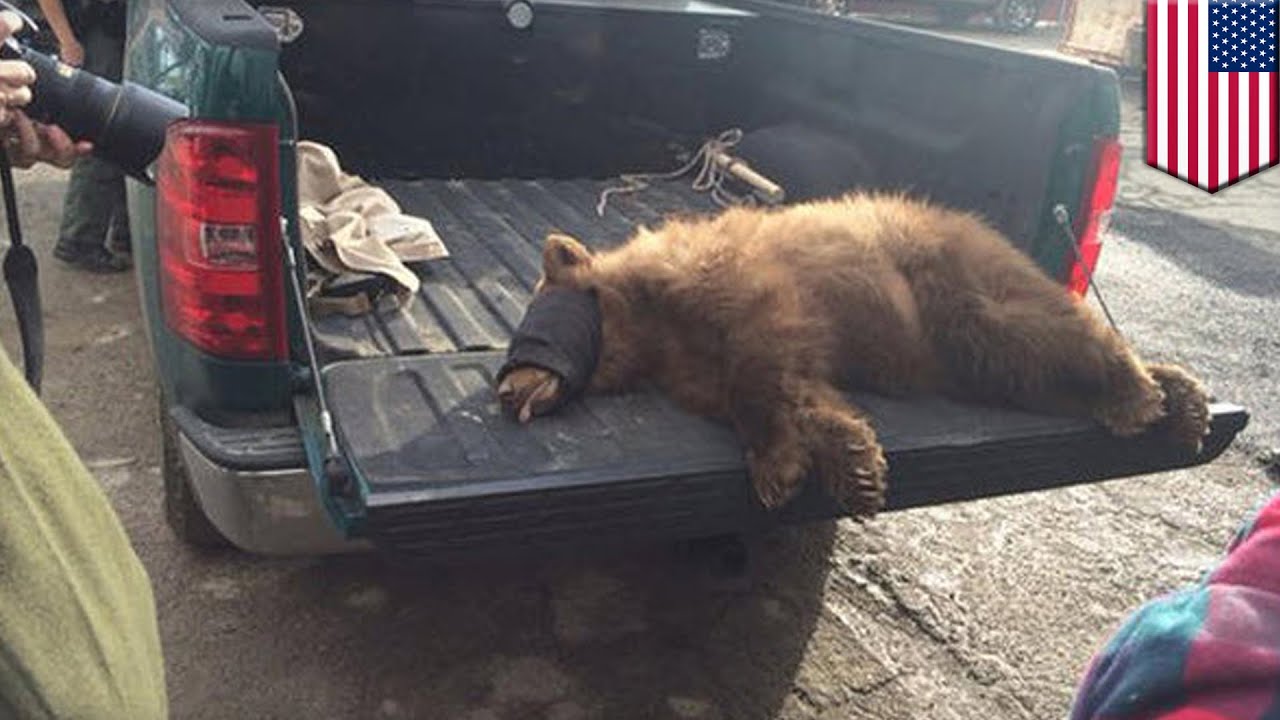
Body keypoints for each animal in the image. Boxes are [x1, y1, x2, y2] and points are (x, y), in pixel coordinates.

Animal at [496, 191, 1210, 517]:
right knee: (1028, 375)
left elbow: (760, 361)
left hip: (954, 288)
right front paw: (851, 463)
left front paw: (776, 469)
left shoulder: (734, 284)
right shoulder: (692, 360)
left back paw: (1137, 391)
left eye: (534, 324)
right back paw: (1178, 396)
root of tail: (978, 224)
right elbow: (802, 391)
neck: (649, 322)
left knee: (1035, 331)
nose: (504, 393)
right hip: (965, 357)